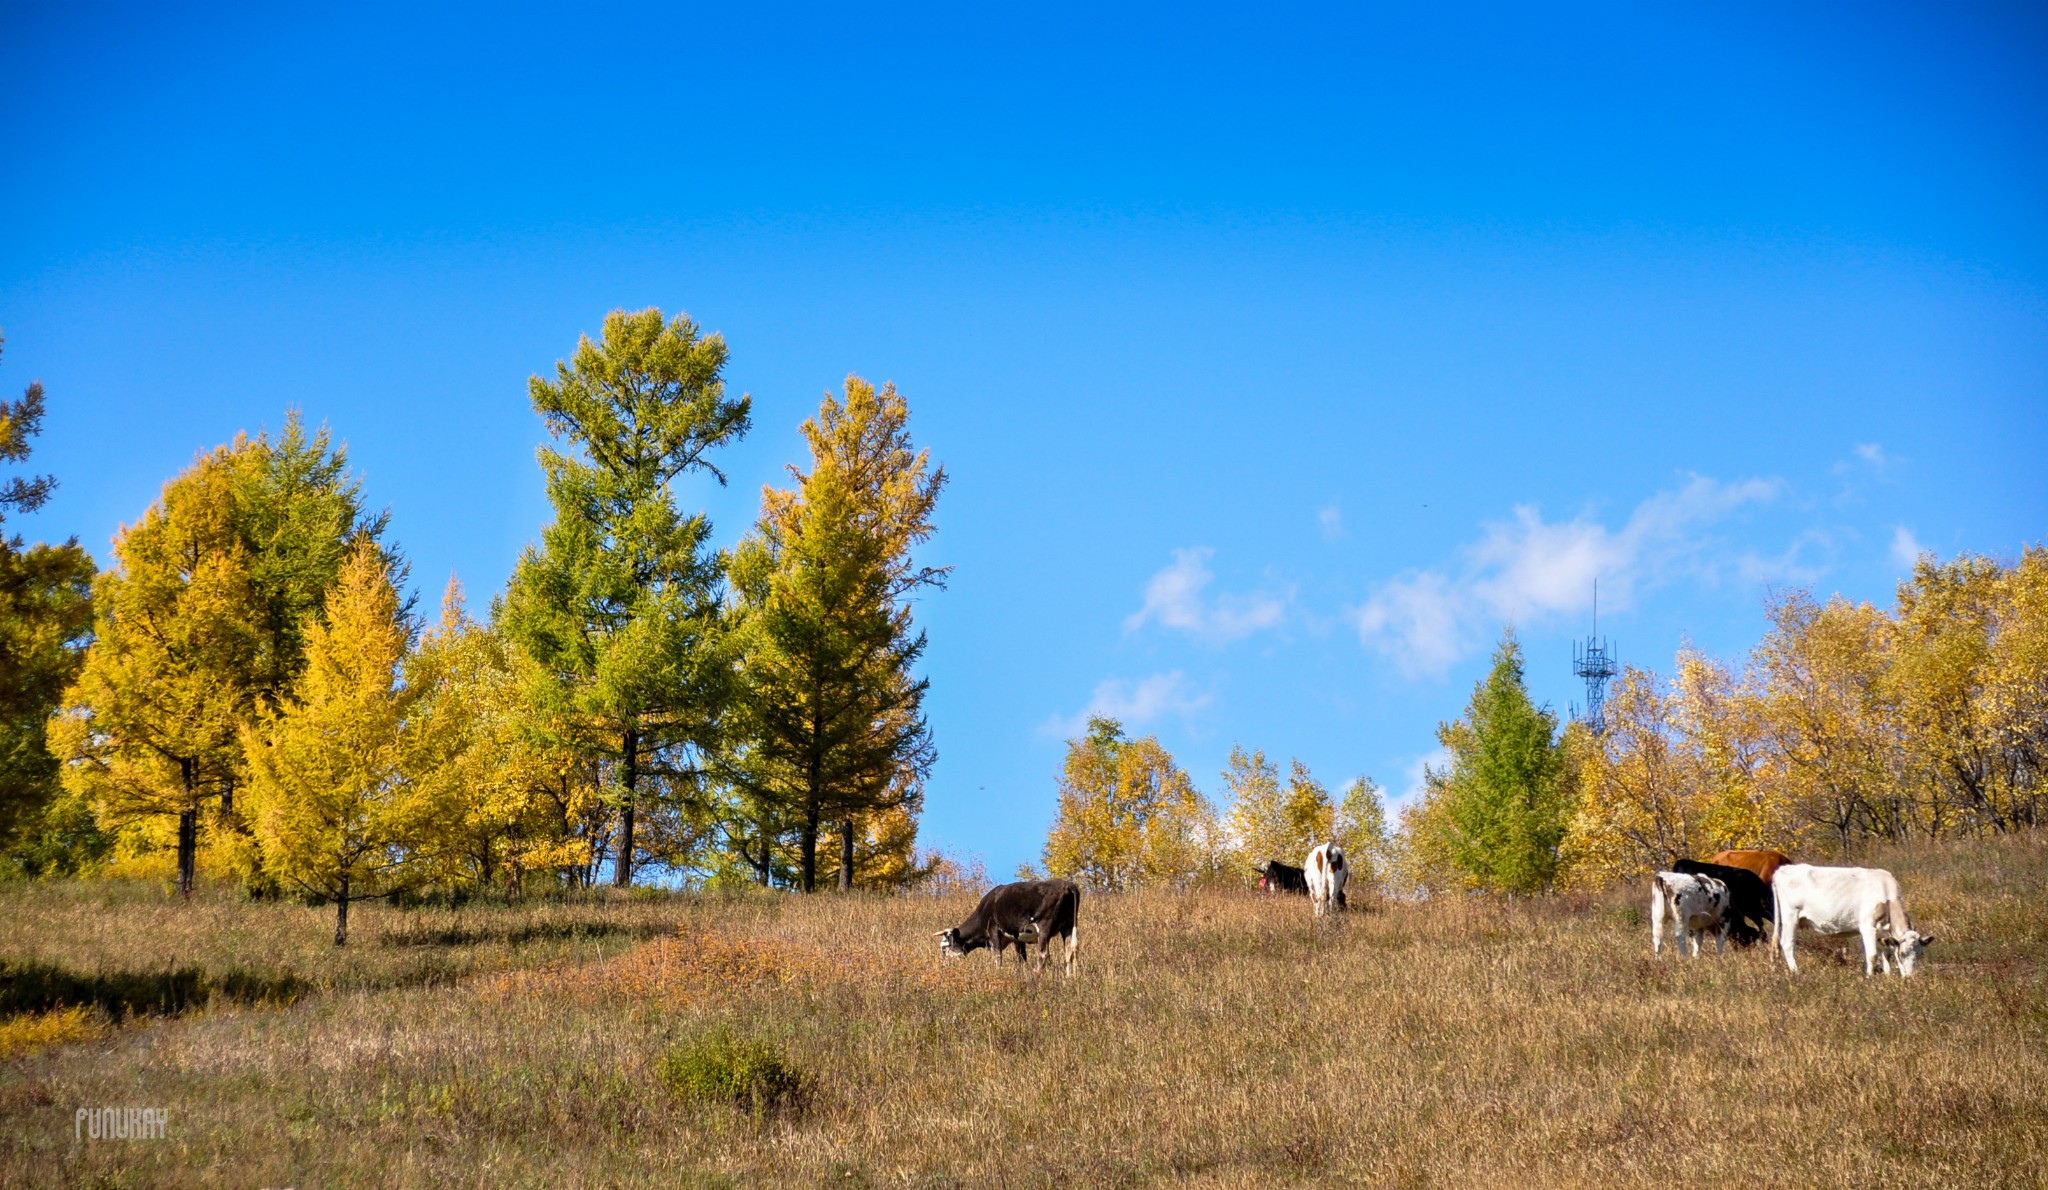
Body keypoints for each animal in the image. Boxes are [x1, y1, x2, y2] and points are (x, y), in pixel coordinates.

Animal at [937, 872, 1081, 974]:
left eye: (944, 947)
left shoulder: (993, 930)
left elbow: (998, 956)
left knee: (1043, 953)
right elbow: (1022, 958)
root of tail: (1069, 885)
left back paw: (1036, 974)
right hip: (1069, 924)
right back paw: (1069, 978)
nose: (942, 965)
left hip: (1045, 926)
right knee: (1070, 950)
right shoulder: (1018, 938)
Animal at [1769, 864, 1925, 974]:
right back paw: (1796, 972)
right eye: (1904, 953)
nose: (1910, 977)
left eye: (1920, 954)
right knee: (1787, 943)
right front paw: (1869, 977)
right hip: (1790, 916)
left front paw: (1889, 976)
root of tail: (1783, 869)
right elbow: (1872, 955)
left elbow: (1887, 954)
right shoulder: (1867, 926)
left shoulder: (1883, 933)